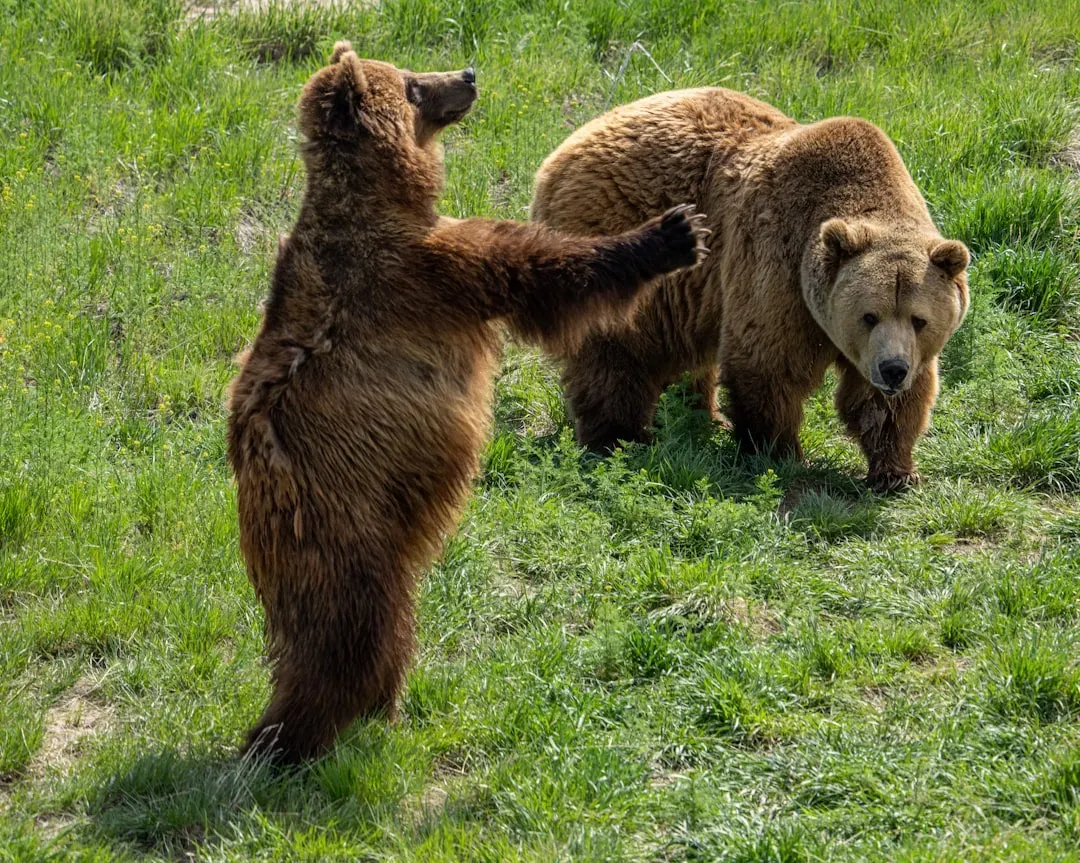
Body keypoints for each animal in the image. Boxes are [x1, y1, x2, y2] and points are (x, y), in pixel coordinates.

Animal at [226, 44, 708, 763]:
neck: (383, 198)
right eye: (412, 84)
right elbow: (537, 270)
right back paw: (297, 735)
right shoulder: (431, 272)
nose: (468, 76)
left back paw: (366, 712)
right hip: (349, 527)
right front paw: (671, 232)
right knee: (350, 631)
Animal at [530, 88, 970, 492]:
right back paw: (619, 438)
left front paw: (897, 472)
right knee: (616, 350)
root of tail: (560, 153)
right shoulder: (778, 265)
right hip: (619, 231)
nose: (893, 369)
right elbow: (767, 362)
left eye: (919, 319)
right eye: (868, 315)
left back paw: (700, 417)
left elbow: (887, 403)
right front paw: (781, 454)